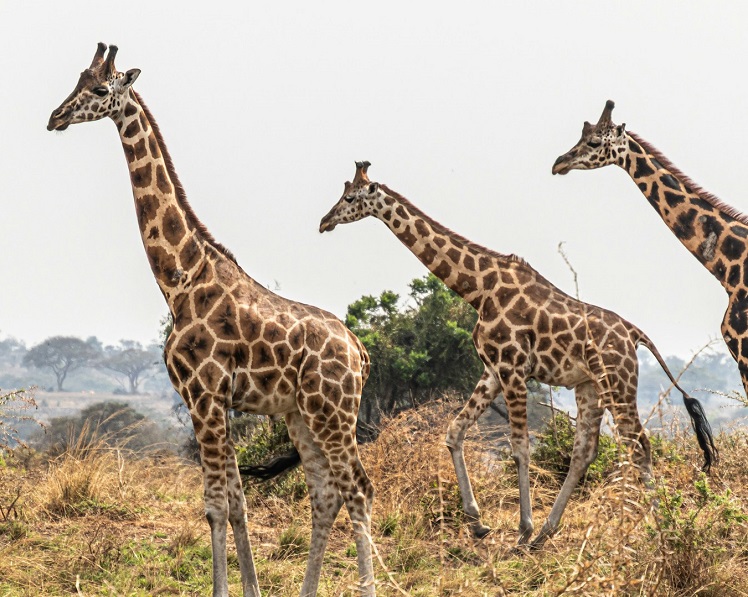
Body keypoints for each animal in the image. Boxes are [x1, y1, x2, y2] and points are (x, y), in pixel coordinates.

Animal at [47, 43, 376, 597]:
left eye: (99, 89)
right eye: (75, 81)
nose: (55, 117)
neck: (180, 281)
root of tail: (361, 351)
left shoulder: (203, 394)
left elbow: (216, 505)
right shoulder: (213, 400)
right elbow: (237, 502)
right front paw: (250, 588)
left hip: (334, 412)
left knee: (360, 490)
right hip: (302, 415)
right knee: (326, 495)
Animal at [318, 161, 717, 550]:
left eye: (351, 197)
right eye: (342, 192)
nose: (324, 222)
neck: (478, 290)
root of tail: (634, 334)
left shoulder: (512, 368)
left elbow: (521, 447)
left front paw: (521, 529)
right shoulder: (492, 370)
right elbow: (455, 431)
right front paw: (478, 522)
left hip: (617, 382)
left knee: (639, 445)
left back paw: (660, 527)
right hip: (590, 386)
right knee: (585, 451)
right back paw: (547, 533)